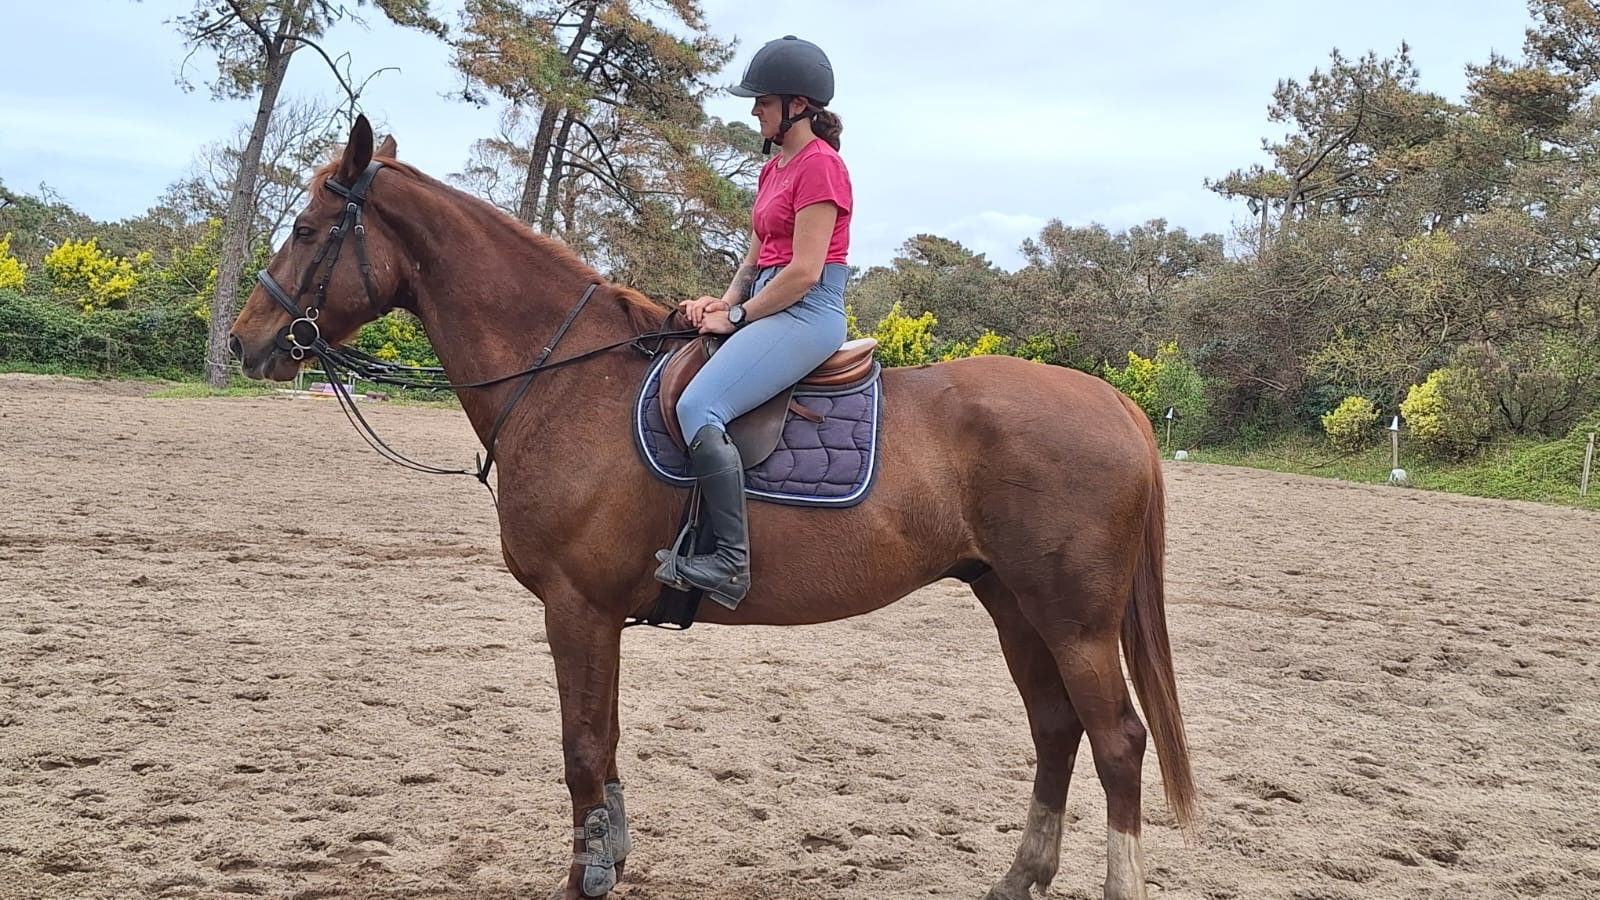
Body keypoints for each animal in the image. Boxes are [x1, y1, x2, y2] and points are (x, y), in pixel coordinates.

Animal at [228, 115, 1197, 900]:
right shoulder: (598, 615)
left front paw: (585, 874)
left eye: (307, 229)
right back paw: (1018, 876)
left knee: (1116, 742)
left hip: (1072, 618)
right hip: (1012, 601)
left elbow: (581, 747)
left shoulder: (575, 608)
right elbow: (608, 738)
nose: (245, 342)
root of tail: (1114, 402)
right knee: (1056, 729)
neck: (565, 379)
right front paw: (610, 856)